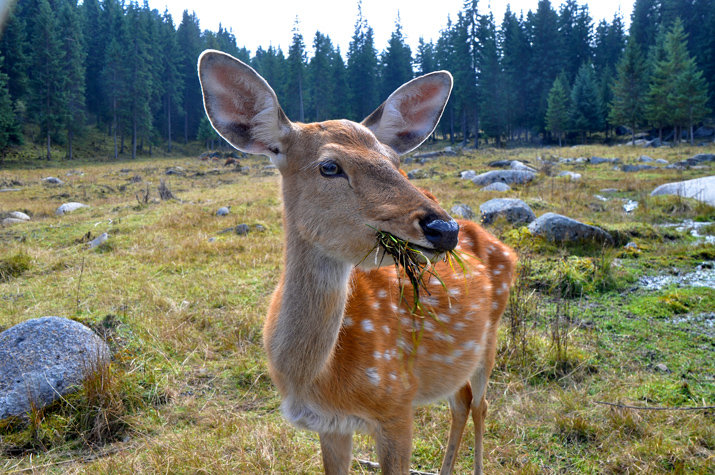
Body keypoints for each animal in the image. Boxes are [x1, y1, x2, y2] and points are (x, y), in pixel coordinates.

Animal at [199, 50, 516, 474]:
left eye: (396, 162)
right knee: (460, 402)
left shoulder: (398, 405)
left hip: (490, 337)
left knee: (481, 404)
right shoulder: (329, 425)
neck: (314, 379)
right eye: (329, 166)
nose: (444, 228)